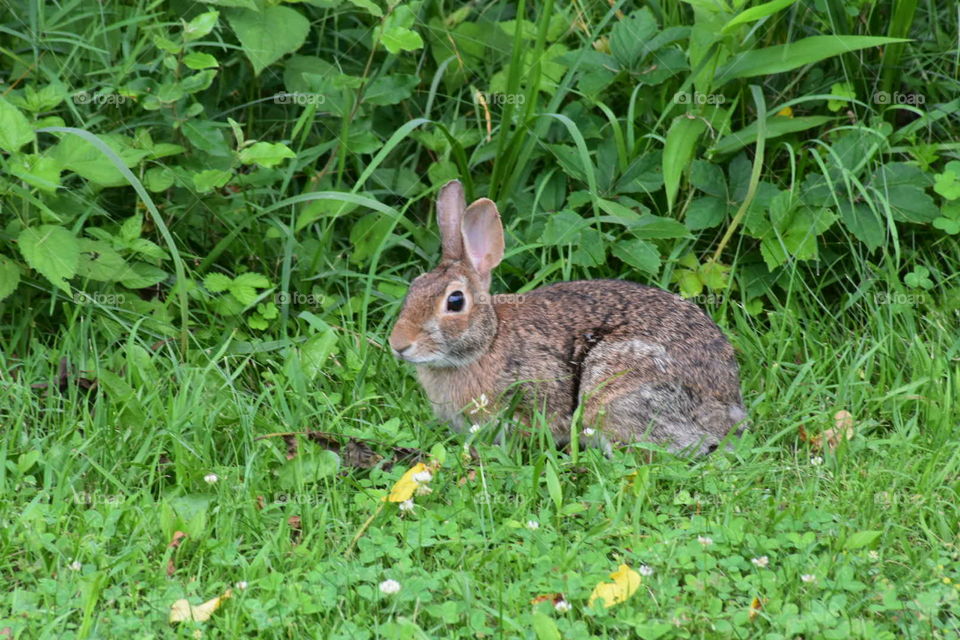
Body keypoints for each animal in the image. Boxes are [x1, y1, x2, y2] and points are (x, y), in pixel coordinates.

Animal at [388, 180, 747, 455]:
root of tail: (728, 409)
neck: (488, 341)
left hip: (615, 388)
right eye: (414, 286)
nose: (398, 344)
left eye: (455, 301)